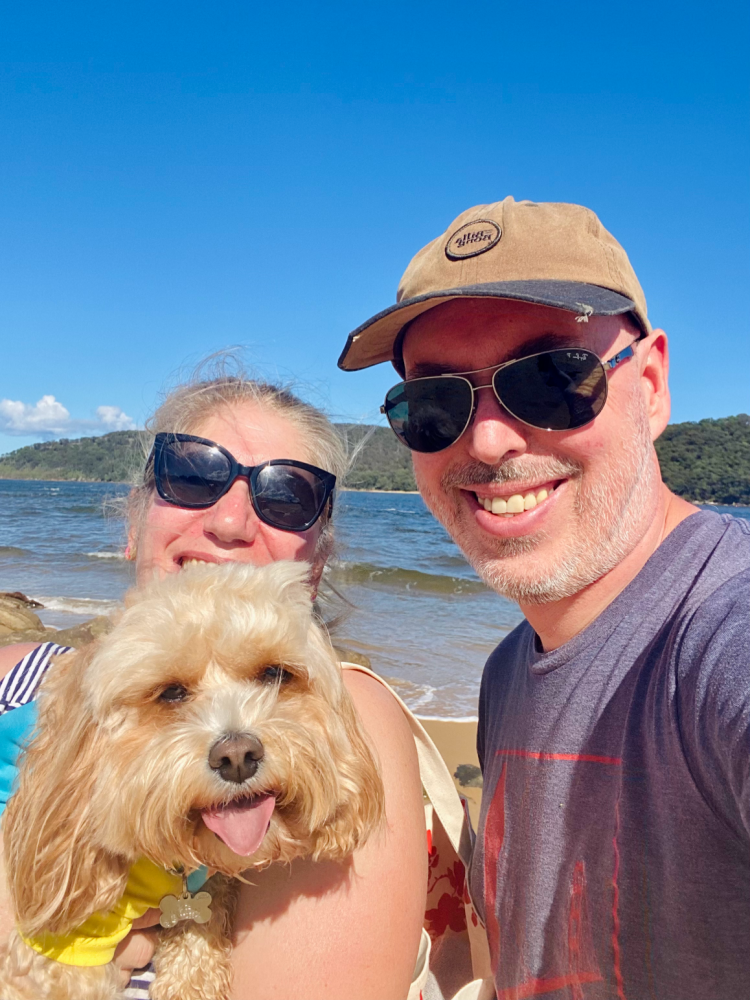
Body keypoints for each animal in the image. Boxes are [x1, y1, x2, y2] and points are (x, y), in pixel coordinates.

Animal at [0, 564, 384, 1000]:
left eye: (274, 673)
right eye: (170, 692)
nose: (237, 757)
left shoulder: (205, 887)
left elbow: (199, 926)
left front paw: (192, 979)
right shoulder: (61, 945)